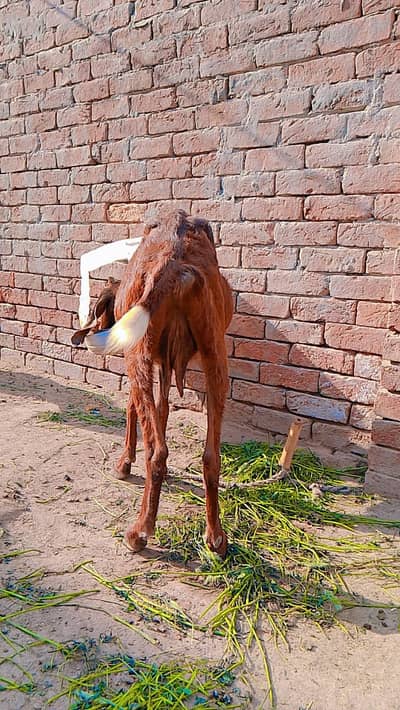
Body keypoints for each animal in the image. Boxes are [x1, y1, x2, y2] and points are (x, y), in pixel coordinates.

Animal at [72, 210, 233, 558]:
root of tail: (177, 262)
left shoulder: (140, 357)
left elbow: (133, 408)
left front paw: (124, 462)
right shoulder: (166, 364)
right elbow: (163, 409)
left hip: (138, 351)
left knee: (157, 452)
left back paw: (139, 532)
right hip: (215, 353)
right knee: (210, 456)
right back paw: (216, 537)